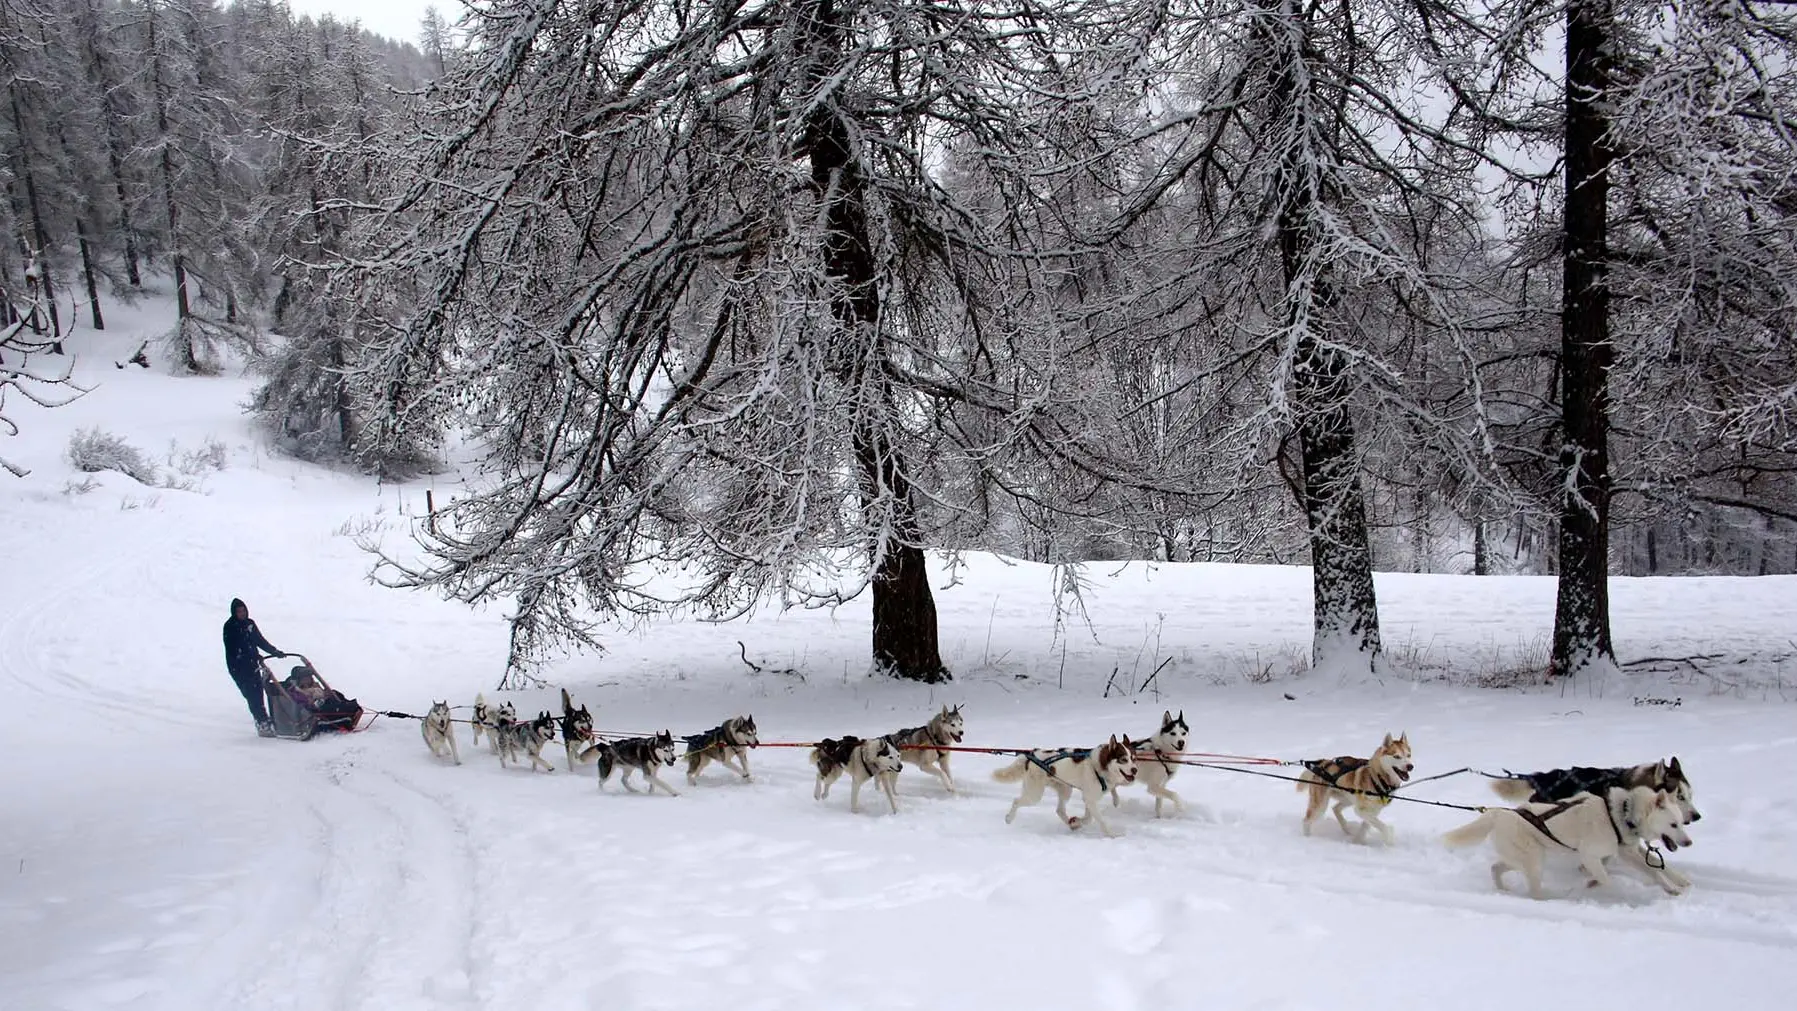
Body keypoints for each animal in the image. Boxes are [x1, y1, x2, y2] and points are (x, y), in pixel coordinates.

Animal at [991, 736, 1142, 840]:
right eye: (1123, 759)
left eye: (1134, 758)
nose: (1135, 770)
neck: (1098, 766)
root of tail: (1030, 756)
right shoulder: (1090, 798)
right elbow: (1100, 820)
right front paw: (1112, 835)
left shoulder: (1090, 798)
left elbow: (1088, 818)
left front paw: (1076, 821)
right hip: (1035, 794)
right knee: (1016, 801)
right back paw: (1009, 818)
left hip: (1065, 789)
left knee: (1059, 810)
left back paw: (1071, 824)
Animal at [1437, 782, 1689, 901]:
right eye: (1673, 825)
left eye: (1681, 823)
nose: (1688, 843)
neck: (1620, 813)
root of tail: (1498, 814)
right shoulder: (1590, 855)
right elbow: (1607, 880)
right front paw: (1620, 894)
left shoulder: (1627, 851)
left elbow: (1656, 871)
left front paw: (1676, 885)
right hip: (1534, 859)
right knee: (1534, 890)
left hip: (1524, 858)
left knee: (1495, 867)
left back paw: (1503, 890)